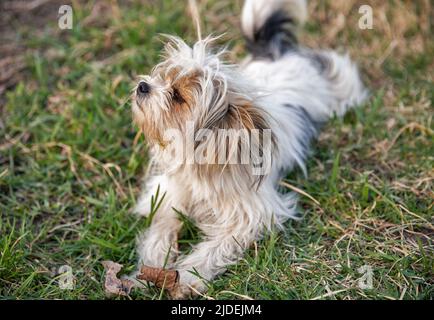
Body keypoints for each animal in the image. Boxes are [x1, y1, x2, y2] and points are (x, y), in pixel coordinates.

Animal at [129, 0, 366, 298]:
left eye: (177, 96)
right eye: (162, 78)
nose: (142, 85)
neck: (200, 163)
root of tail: (275, 54)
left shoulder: (252, 215)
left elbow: (217, 246)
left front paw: (188, 276)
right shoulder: (169, 194)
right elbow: (161, 228)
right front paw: (151, 265)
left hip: (340, 83)